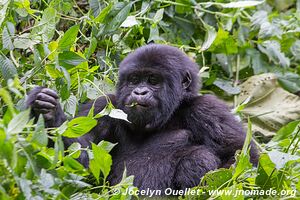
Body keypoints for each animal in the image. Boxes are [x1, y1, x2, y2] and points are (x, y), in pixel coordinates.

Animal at [27, 44, 258, 191]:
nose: (139, 92)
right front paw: (49, 114)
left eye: (153, 80)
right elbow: (82, 162)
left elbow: (242, 159)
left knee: (200, 156)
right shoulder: (104, 106)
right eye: (134, 79)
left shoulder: (207, 110)